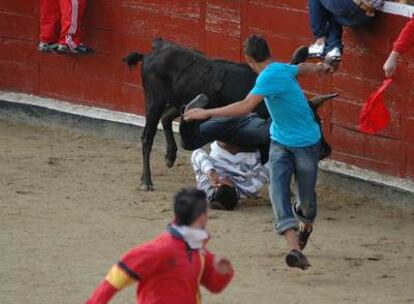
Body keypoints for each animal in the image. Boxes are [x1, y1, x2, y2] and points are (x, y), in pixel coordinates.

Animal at [123, 38, 336, 190]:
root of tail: (153, 51)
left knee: (167, 117)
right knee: (147, 136)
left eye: (318, 120)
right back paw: (147, 181)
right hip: (154, 100)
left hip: (179, 99)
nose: (326, 149)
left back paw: (169, 157)